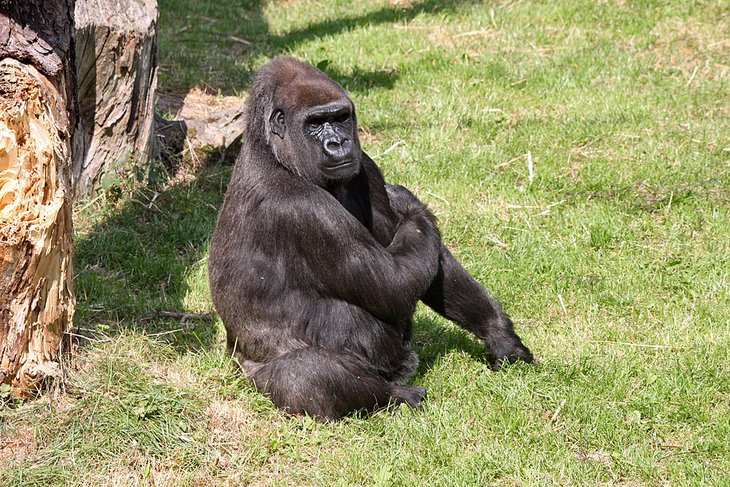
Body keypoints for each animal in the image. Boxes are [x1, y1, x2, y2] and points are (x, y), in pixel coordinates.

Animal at [208, 57, 532, 422]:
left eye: (340, 117)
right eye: (315, 123)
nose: (338, 144)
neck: (273, 154)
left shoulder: (366, 167)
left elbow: (431, 270)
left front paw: (499, 335)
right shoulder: (302, 209)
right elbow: (393, 284)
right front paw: (410, 202)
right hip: (251, 374)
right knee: (305, 375)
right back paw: (394, 395)